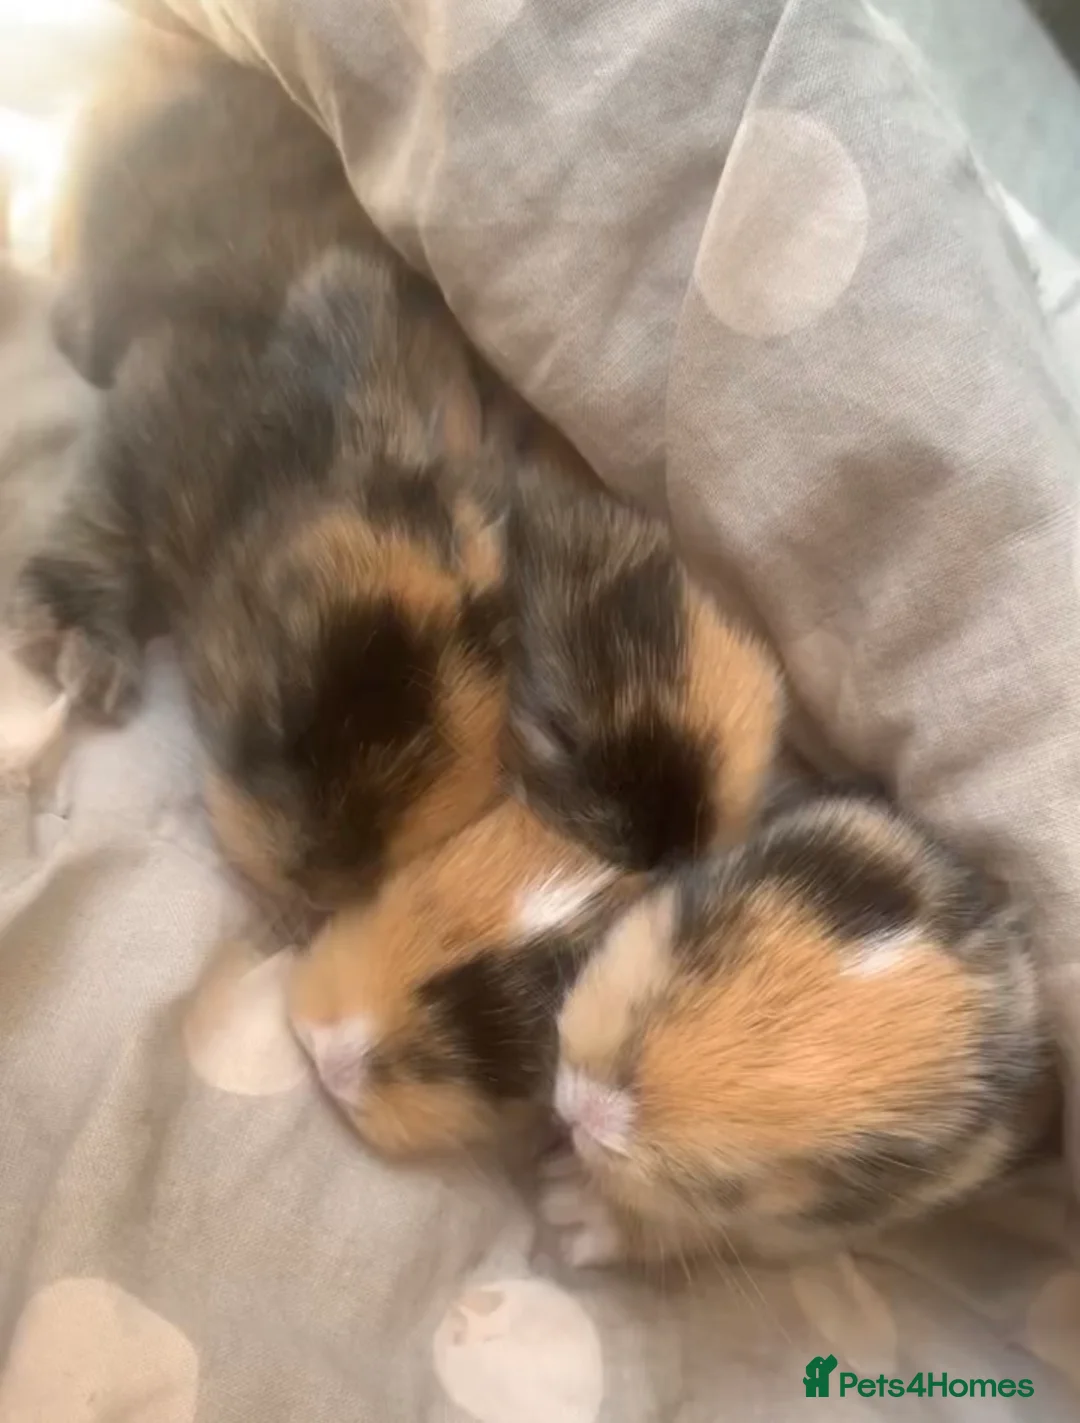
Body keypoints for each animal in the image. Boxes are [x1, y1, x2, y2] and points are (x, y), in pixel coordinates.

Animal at [9, 32, 507, 907]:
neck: (265, 478)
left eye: (492, 636)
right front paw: (87, 656)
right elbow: (96, 528)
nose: (326, 877)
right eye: (281, 697)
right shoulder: (138, 427)